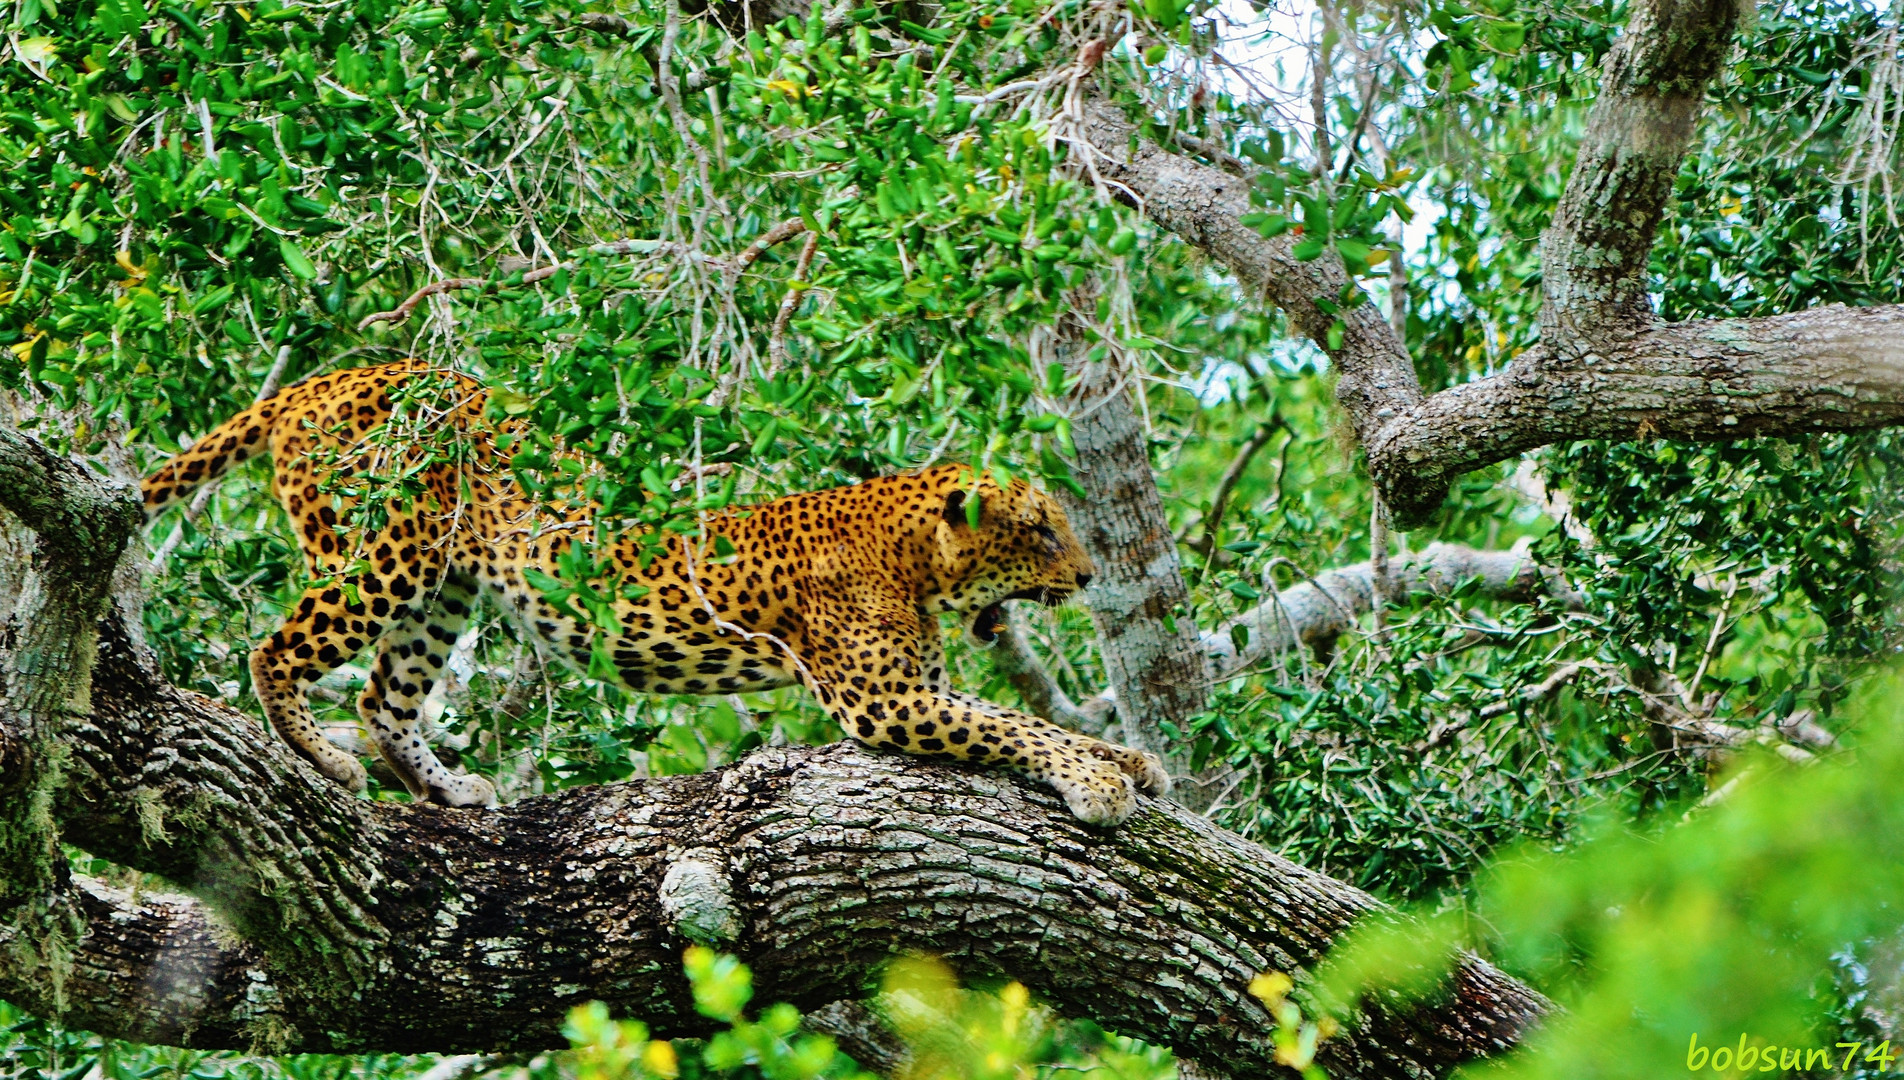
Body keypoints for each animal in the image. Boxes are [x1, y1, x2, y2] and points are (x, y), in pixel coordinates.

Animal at [140, 363, 1165, 826]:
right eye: (1042, 532)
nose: (1086, 577)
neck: (912, 554)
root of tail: (334, 373)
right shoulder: (886, 700)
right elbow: (1015, 726)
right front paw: (1097, 781)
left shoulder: (921, 686)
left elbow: (1022, 718)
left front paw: (1128, 762)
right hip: (377, 556)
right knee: (277, 649)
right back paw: (323, 762)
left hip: (442, 585)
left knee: (382, 698)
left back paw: (447, 787)